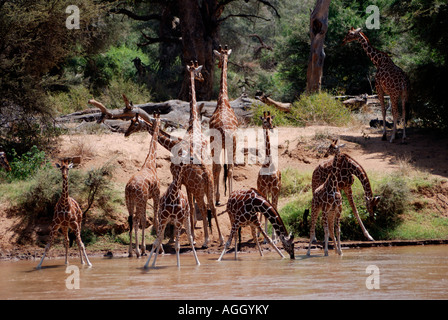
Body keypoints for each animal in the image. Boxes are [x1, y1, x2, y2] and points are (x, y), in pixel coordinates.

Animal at [124, 112, 161, 258]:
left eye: (134, 123)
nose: (126, 133)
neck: (150, 163)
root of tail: (130, 188)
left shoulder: (146, 199)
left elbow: (143, 220)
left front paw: (144, 248)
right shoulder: (156, 195)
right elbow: (155, 219)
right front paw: (160, 249)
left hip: (130, 201)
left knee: (131, 220)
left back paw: (131, 251)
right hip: (139, 201)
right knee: (138, 220)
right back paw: (139, 251)